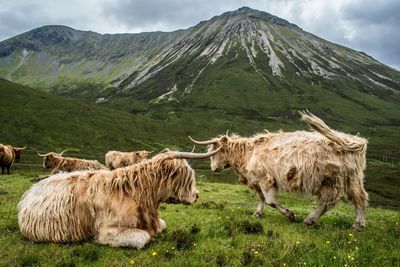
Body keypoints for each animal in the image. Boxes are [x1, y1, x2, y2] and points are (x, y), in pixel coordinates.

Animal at [191, 111, 368, 230]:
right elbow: (261, 198)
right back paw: (358, 224)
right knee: (360, 198)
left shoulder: (265, 178)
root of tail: (352, 139)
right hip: (352, 178)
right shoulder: (256, 180)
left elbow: (271, 200)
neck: (247, 154)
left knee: (327, 202)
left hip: (332, 179)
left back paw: (310, 220)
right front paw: (257, 213)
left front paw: (290, 215)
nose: (213, 168)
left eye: (216, 151)